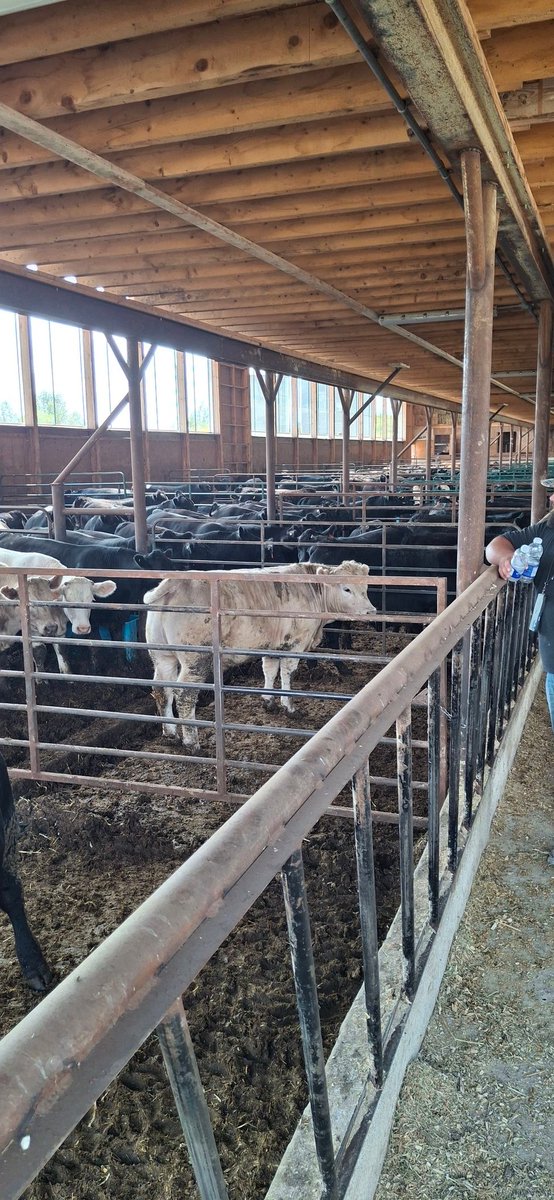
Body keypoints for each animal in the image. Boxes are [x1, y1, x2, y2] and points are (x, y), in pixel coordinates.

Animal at [144, 560, 375, 748]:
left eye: (365, 588)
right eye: (346, 588)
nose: (370, 611)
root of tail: (174, 584)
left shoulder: (270, 645)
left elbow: (270, 670)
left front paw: (268, 701)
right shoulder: (295, 644)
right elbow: (287, 673)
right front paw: (289, 707)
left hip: (161, 656)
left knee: (162, 690)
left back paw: (170, 734)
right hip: (196, 660)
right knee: (185, 695)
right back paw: (192, 742)